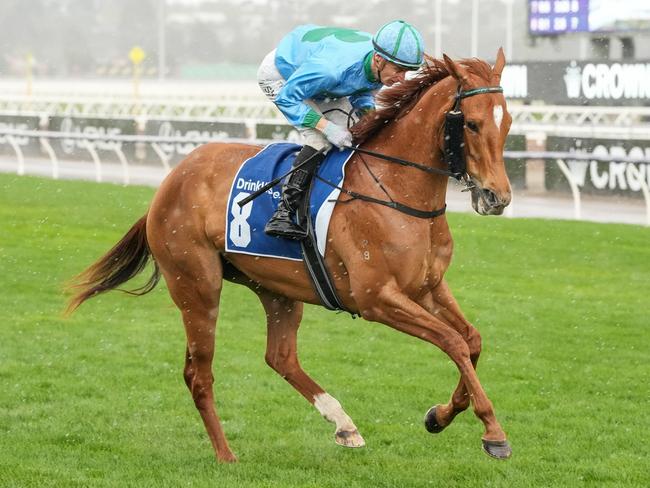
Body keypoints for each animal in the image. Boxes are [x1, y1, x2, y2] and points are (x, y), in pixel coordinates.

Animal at [66, 51, 512, 464]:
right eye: (472, 123)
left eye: (507, 123)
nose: (498, 197)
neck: (396, 190)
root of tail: (169, 181)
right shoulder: (378, 298)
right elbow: (453, 342)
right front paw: (493, 432)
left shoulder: (427, 286)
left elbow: (471, 339)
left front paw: (441, 415)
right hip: (197, 286)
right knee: (199, 373)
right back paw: (226, 455)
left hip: (275, 288)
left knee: (279, 357)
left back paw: (344, 424)